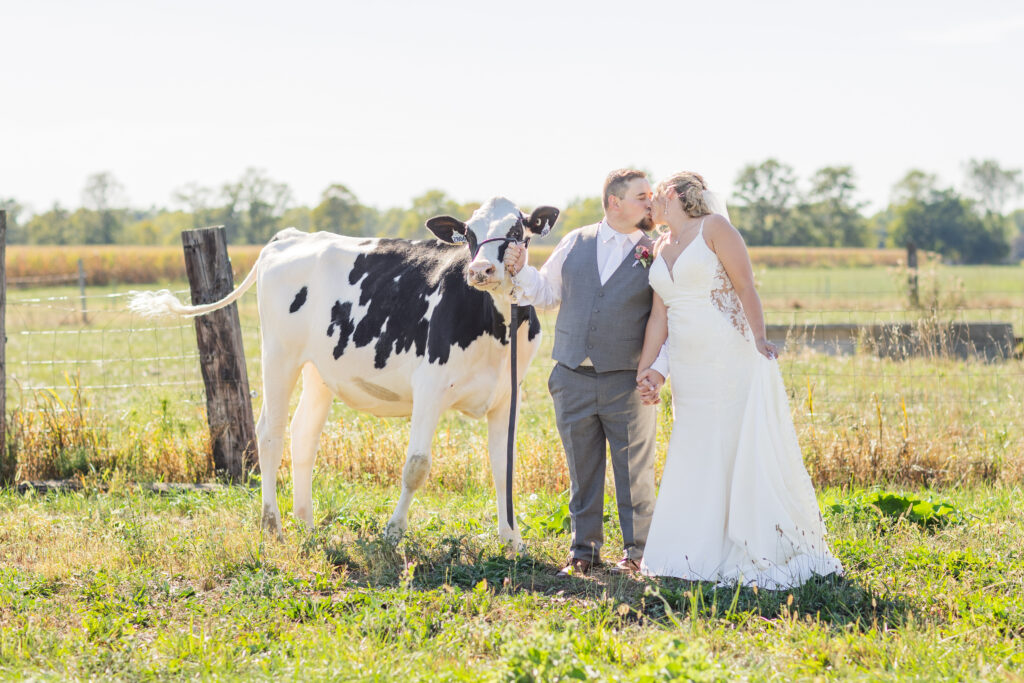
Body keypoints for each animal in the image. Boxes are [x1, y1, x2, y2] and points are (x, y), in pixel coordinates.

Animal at [130, 196, 561, 544]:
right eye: (469, 233)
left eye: (517, 230)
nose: (481, 270)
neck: (495, 325)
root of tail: (290, 237)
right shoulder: (430, 385)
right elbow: (416, 466)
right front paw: (393, 531)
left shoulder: (507, 394)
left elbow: (503, 467)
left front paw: (511, 539)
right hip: (279, 355)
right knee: (269, 434)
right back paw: (272, 525)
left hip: (319, 369)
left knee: (303, 434)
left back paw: (305, 521)